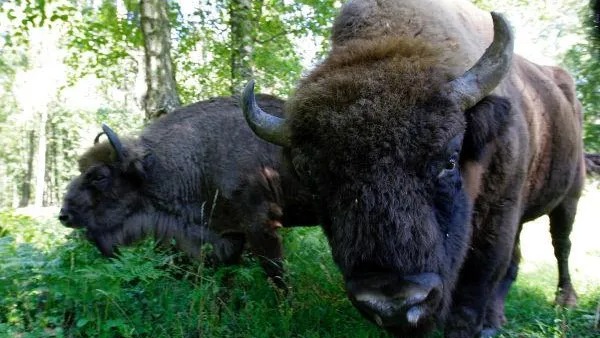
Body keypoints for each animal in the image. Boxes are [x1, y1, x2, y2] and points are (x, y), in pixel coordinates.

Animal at [241, 0, 584, 336]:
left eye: (450, 160)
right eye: (314, 179)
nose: (393, 303)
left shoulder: (499, 218)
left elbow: (471, 298)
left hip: (570, 197)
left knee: (561, 244)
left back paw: (564, 301)